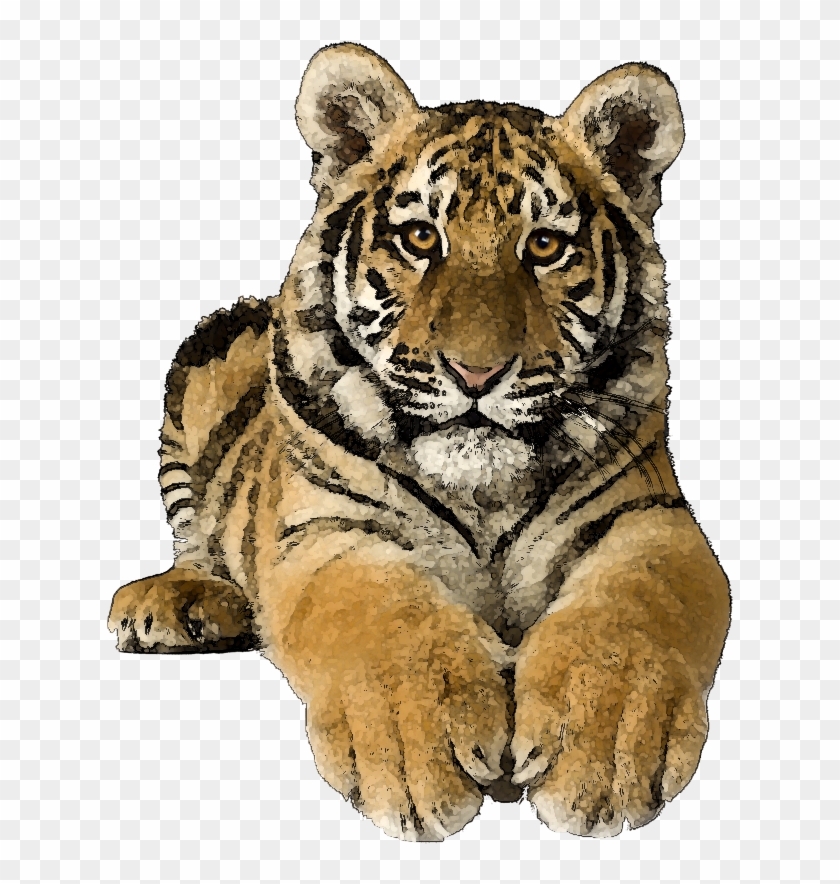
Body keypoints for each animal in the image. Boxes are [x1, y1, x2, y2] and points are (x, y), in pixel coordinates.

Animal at [108, 43, 731, 841]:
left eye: (545, 246)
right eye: (421, 239)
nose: (476, 372)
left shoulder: (648, 518)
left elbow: (631, 613)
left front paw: (605, 749)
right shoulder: (327, 529)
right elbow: (383, 617)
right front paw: (411, 748)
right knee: (196, 535)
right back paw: (178, 602)